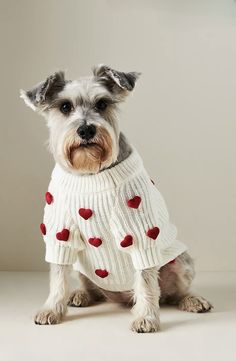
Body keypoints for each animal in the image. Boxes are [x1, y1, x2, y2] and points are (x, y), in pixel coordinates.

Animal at [20, 65, 212, 332]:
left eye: (102, 104)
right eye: (65, 106)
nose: (86, 129)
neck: (90, 173)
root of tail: (121, 296)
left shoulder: (141, 234)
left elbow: (146, 281)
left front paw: (146, 318)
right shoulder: (60, 234)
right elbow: (58, 277)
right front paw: (51, 309)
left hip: (180, 262)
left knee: (173, 293)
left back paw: (192, 300)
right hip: (83, 267)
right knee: (92, 288)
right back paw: (80, 294)